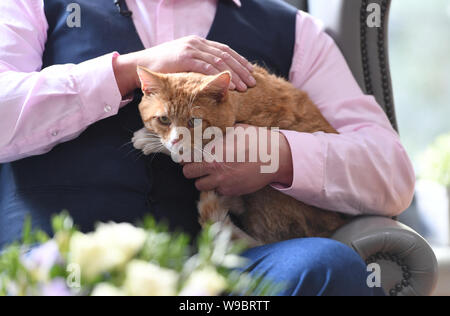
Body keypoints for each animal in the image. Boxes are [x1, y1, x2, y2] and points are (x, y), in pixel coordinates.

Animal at [132, 65, 350, 246]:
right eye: (164, 119)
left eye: (194, 121)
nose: (176, 139)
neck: (240, 102)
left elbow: (189, 152)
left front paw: (148, 140)